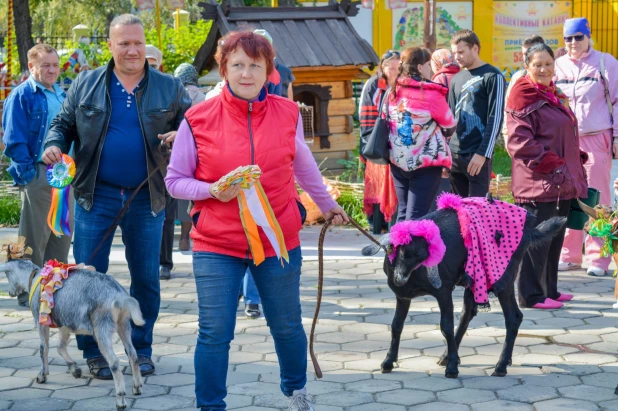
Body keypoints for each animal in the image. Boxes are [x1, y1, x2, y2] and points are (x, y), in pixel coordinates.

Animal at [0, 260, 144, 410]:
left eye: (7, 275)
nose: (9, 292)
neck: (36, 277)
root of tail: (119, 296)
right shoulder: (64, 324)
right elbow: (60, 347)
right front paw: (75, 370)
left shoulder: (42, 322)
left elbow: (43, 349)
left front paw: (42, 376)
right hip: (123, 324)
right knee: (133, 354)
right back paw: (137, 387)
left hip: (102, 328)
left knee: (114, 362)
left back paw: (120, 400)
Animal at [364, 209, 564, 380]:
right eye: (400, 250)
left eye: (422, 255)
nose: (399, 279)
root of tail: (529, 230)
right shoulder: (403, 297)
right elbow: (396, 325)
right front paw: (388, 362)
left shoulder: (443, 291)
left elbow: (445, 326)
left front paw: (452, 369)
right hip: (476, 278)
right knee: (468, 313)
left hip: (502, 276)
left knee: (513, 317)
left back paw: (499, 366)